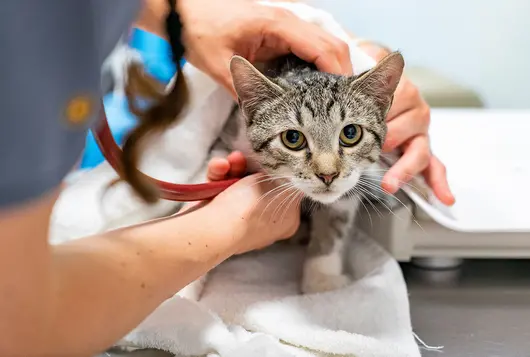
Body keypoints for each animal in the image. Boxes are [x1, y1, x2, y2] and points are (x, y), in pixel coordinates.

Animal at [207, 52, 404, 292]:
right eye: (292, 138)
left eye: (350, 133)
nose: (328, 174)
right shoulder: (230, 136)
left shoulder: (352, 183)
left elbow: (335, 221)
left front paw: (322, 278)